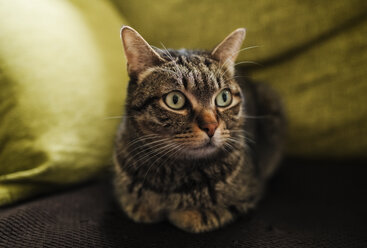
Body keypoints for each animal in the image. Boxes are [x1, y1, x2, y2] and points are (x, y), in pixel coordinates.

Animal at [113, 26, 286, 233]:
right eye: (175, 100)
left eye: (224, 97)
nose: (211, 127)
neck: (172, 175)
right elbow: (135, 202)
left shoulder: (250, 191)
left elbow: (206, 213)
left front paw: (187, 214)